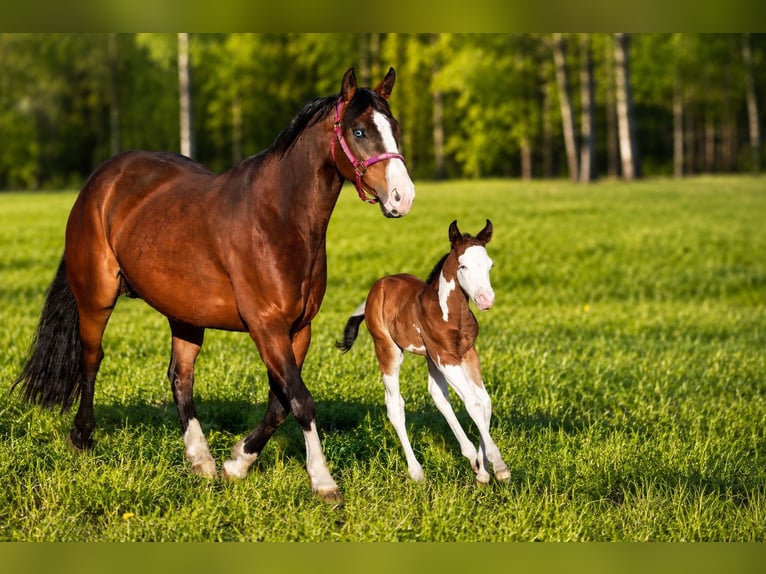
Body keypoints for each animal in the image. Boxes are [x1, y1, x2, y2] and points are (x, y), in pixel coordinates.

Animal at [12, 67, 415, 503]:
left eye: (394, 127)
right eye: (359, 131)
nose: (403, 197)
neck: (278, 219)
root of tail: (100, 180)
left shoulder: (298, 330)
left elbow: (280, 404)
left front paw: (237, 463)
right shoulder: (266, 327)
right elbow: (301, 401)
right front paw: (323, 481)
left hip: (185, 314)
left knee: (179, 377)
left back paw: (201, 460)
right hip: (96, 298)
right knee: (91, 359)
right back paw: (82, 437)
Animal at [336, 219, 509, 484]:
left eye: (490, 265)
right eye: (463, 265)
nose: (485, 300)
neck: (449, 313)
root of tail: (378, 286)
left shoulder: (467, 353)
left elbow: (485, 401)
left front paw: (482, 470)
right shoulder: (445, 356)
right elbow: (473, 403)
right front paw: (498, 467)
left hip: (430, 357)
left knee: (438, 396)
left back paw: (470, 457)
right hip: (389, 350)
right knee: (395, 405)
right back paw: (416, 471)